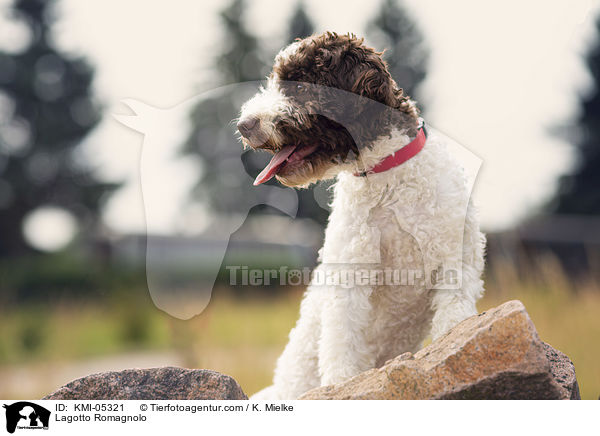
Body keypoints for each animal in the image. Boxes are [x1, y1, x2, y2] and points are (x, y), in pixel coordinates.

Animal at [237, 31, 486, 398]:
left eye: (300, 86)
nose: (244, 125)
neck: (388, 177)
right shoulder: (350, 276)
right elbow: (342, 341)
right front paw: (341, 382)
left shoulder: (456, 263)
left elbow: (452, 321)